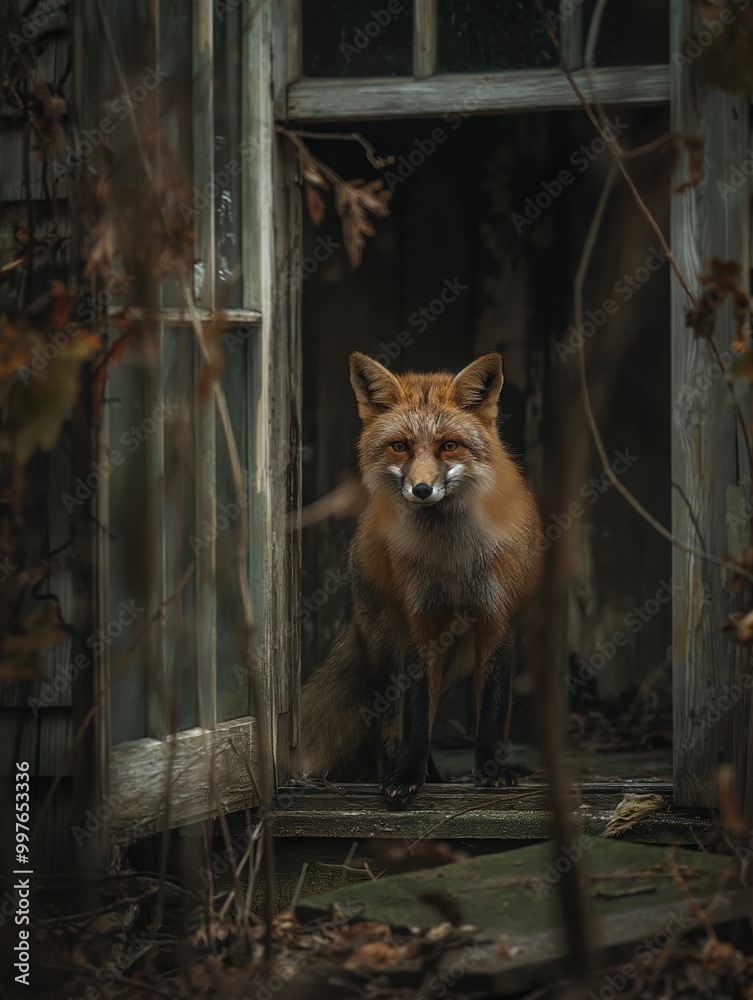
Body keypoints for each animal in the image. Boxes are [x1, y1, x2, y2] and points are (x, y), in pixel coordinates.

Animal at [300, 351, 543, 805]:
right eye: (400, 446)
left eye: (449, 445)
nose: (422, 489)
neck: (451, 559)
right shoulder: (421, 624)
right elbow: (415, 715)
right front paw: (407, 774)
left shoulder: (496, 620)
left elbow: (494, 707)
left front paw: (493, 771)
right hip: (387, 648)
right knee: (389, 723)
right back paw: (403, 769)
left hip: (457, 660)